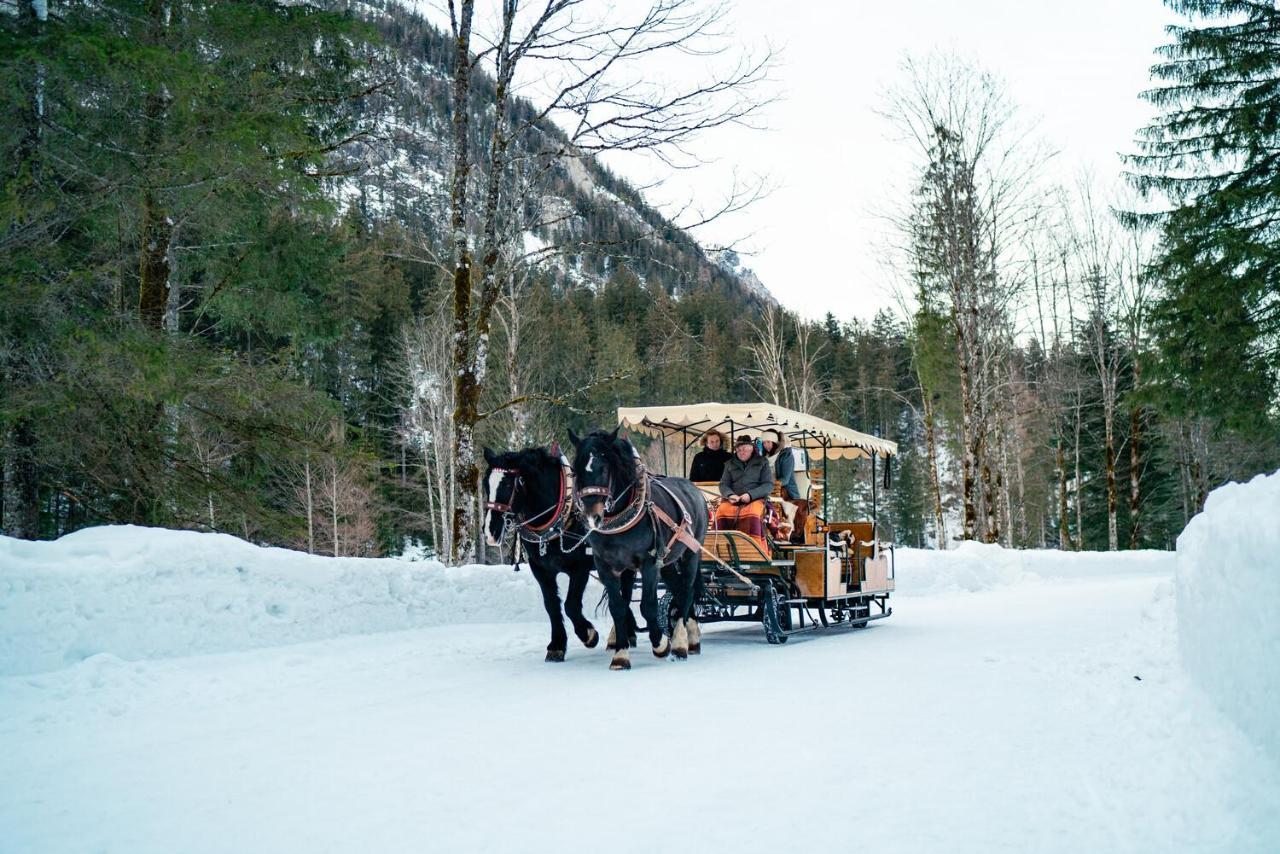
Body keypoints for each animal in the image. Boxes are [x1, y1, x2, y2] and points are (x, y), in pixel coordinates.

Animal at [483, 448, 599, 660]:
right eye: (486, 483)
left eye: (507, 484)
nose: (490, 532)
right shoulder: (541, 569)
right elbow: (551, 604)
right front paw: (557, 645)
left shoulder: (580, 567)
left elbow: (570, 605)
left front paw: (588, 634)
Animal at [570, 425, 711, 665]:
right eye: (575, 470)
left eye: (604, 468)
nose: (591, 517)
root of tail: (694, 489)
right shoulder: (605, 565)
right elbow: (618, 606)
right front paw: (620, 654)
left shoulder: (649, 561)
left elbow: (648, 606)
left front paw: (661, 643)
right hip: (668, 562)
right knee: (679, 589)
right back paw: (690, 637)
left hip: (691, 554)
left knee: (687, 590)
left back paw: (680, 642)